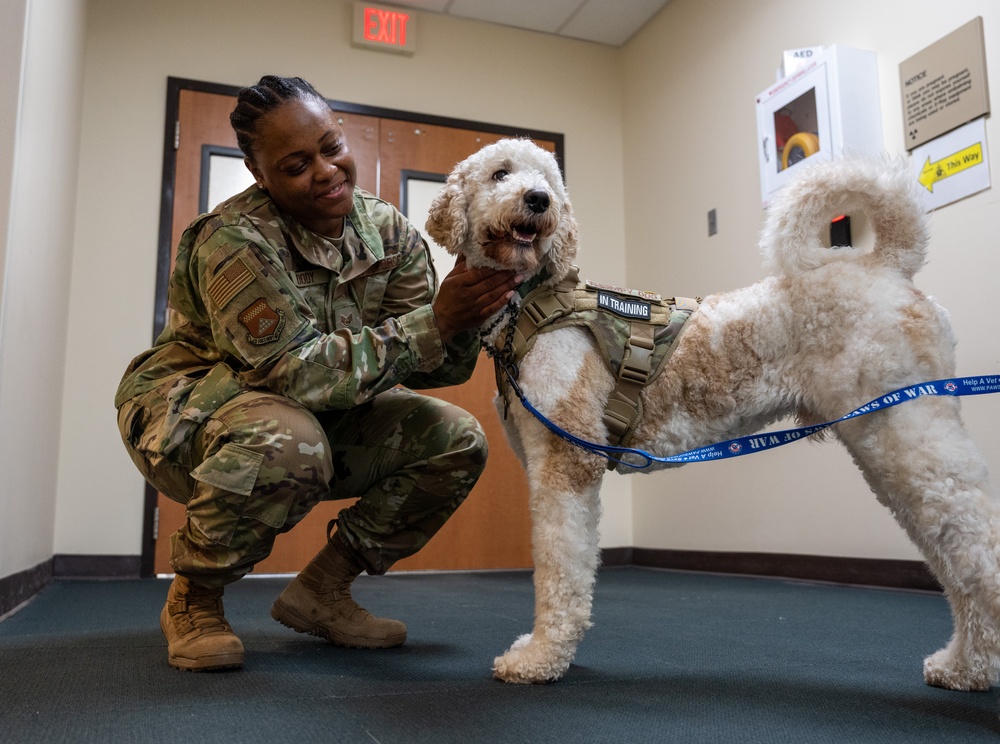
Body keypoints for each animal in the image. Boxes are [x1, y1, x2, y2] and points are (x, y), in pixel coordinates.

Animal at [424, 141, 1000, 692]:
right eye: (500, 173)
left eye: (547, 180)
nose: (538, 200)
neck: (532, 304)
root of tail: (886, 264)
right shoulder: (553, 463)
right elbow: (570, 561)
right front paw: (545, 651)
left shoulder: (567, 464)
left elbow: (558, 568)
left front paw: (541, 659)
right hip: (891, 442)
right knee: (954, 559)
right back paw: (965, 666)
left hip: (910, 434)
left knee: (980, 547)